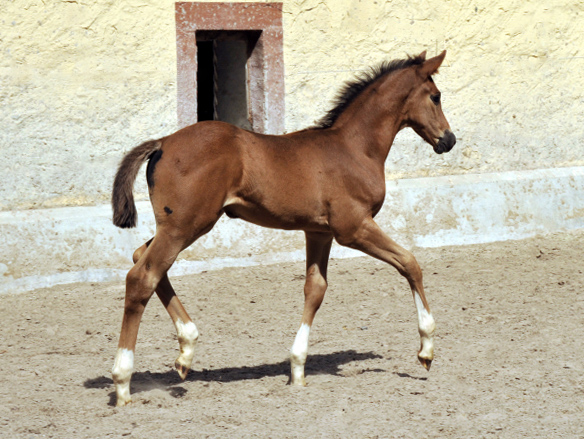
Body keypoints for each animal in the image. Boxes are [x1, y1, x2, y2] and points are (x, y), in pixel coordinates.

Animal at [109, 50, 456, 406]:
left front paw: (298, 368)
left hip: (180, 225)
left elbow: (315, 289)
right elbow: (409, 263)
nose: (449, 140)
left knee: (142, 257)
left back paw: (186, 350)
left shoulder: (319, 233)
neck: (354, 148)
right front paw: (426, 350)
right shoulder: (353, 228)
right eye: (436, 96)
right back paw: (123, 381)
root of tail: (163, 142)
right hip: (186, 225)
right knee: (142, 277)